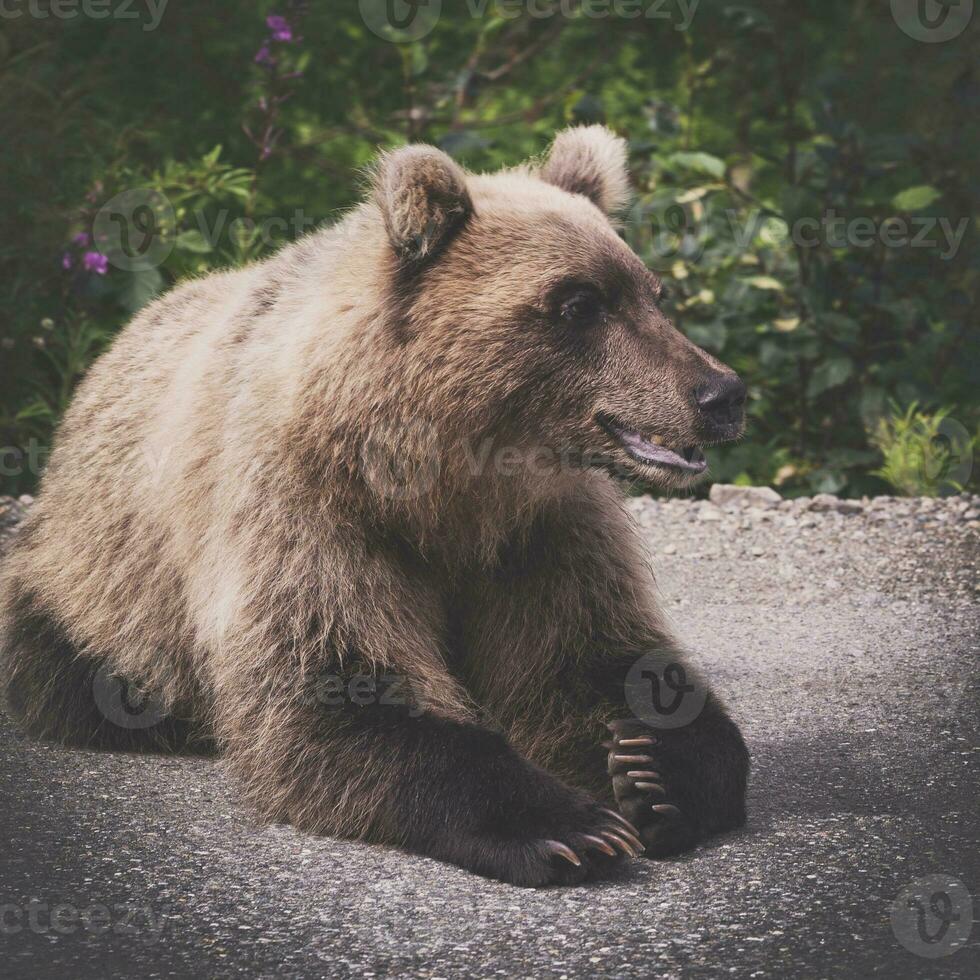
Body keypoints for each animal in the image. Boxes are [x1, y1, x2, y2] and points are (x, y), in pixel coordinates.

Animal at [1, 124, 752, 888]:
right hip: (100, 574)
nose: (721, 394)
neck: (442, 476)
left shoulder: (540, 531)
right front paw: (570, 826)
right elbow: (337, 688)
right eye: (580, 303)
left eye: (652, 293)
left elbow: (588, 655)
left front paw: (652, 770)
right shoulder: (310, 506)